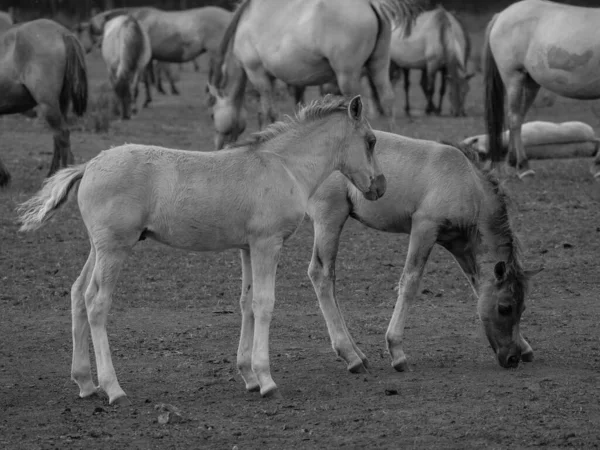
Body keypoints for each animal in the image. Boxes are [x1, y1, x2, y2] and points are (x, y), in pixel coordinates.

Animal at [18, 95, 386, 404]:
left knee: (77, 294)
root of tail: (90, 165)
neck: (283, 166)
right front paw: (266, 380)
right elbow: (265, 304)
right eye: (370, 141)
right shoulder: (267, 244)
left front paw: (249, 376)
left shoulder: (248, 247)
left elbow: (247, 304)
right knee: (96, 302)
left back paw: (85, 383)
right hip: (113, 249)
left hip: (97, 248)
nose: (380, 187)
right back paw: (112, 388)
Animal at [209, 0, 420, 148]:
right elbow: (266, 112)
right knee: (387, 99)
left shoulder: (258, 74)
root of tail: (370, 4)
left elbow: (269, 112)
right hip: (379, 65)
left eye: (212, 115)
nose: (218, 145)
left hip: (347, 75)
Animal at [308, 132, 540, 374]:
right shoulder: (424, 227)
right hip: (330, 216)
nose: (512, 358)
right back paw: (350, 356)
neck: (467, 182)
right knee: (321, 275)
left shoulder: (459, 245)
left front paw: (525, 346)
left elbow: (478, 288)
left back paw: (358, 354)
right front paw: (397, 351)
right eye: (504, 308)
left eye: (522, 308)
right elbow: (410, 282)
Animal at [482, 0, 600, 179]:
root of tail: (501, 15)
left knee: (517, 118)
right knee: (515, 118)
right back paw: (523, 167)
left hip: (530, 83)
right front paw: (597, 167)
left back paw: (512, 162)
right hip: (514, 78)